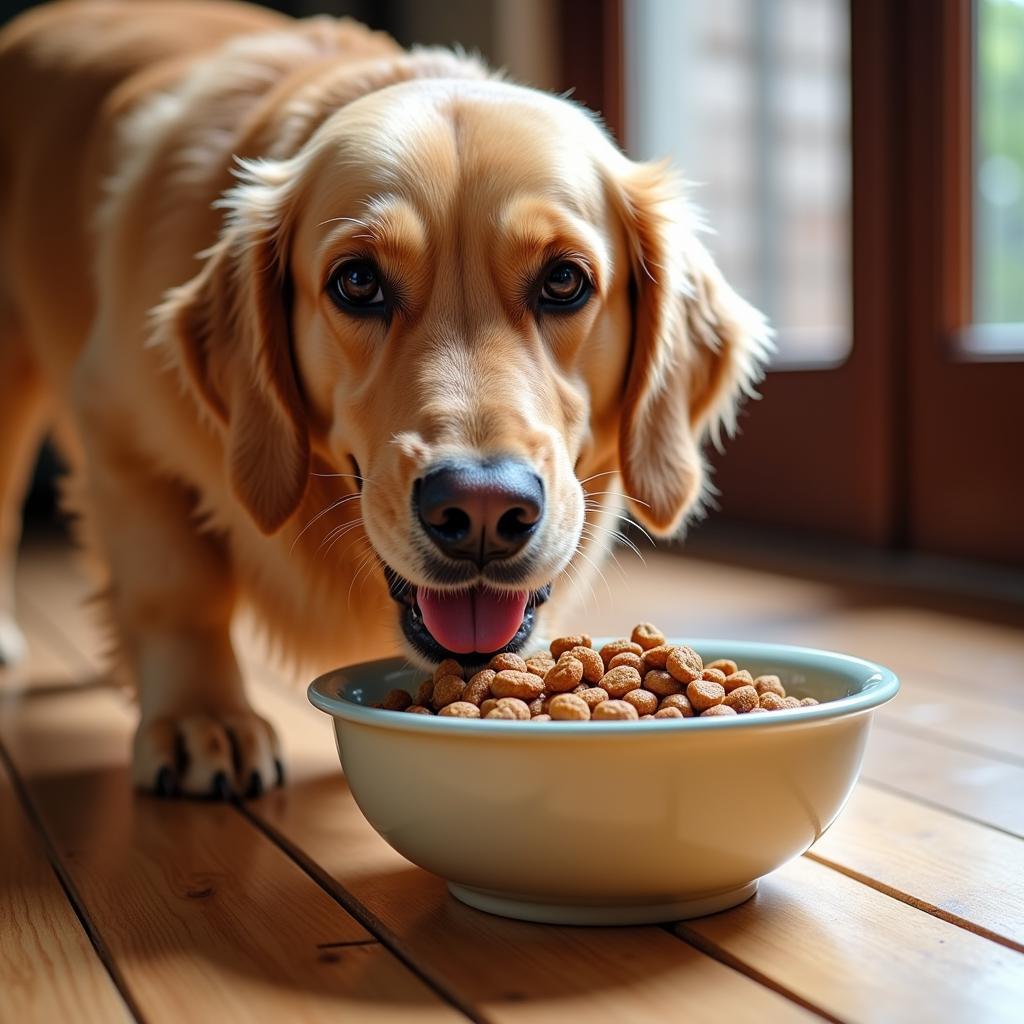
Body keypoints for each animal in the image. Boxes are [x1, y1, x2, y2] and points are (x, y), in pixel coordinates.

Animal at [0, 0, 770, 794]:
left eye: (564, 280)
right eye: (357, 282)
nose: (483, 512)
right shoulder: (120, 422)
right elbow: (176, 586)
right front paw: (200, 716)